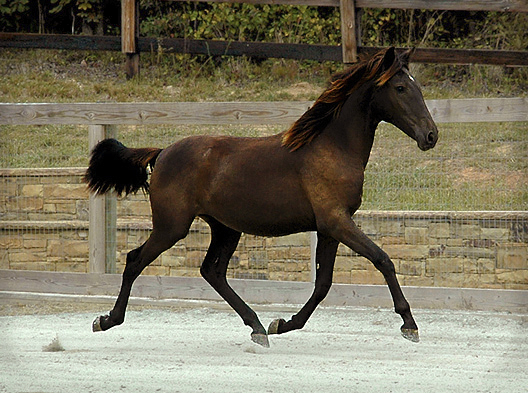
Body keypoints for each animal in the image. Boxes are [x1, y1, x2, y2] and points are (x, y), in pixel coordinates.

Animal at [84, 48, 438, 346]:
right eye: (401, 88)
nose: (431, 135)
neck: (332, 147)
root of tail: (162, 153)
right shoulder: (336, 221)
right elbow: (382, 260)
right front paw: (409, 324)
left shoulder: (330, 227)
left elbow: (323, 283)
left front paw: (282, 324)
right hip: (172, 226)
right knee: (135, 260)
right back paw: (106, 320)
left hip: (225, 228)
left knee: (212, 271)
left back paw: (256, 326)